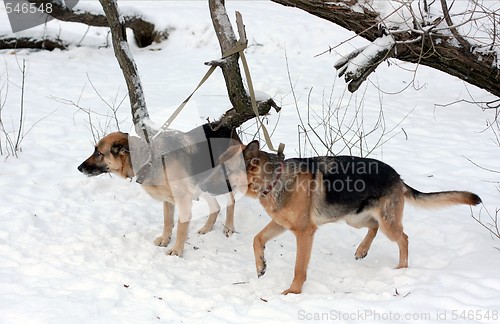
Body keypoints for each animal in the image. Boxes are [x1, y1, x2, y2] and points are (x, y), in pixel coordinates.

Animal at [78, 124, 240, 256]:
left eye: (98, 153)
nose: (79, 168)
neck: (148, 159)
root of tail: (228, 126)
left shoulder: (183, 200)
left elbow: (181, 228)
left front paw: (177, 251)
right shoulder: (168, 200)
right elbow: (167, 221)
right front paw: (165, 239)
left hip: (220, 181)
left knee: (231, 200)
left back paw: (229, 227)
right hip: (202, 185)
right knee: (216, 206)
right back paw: (207, 228)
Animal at [212, 141, 484, 294]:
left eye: (222, 168)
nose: (204, 184)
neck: (274, 180)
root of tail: (398, 176)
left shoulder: (304, 233)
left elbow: (299, 267)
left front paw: (293, 292)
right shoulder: (280, 224)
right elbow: (257, 239)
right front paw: (261, 266)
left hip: (387, 223)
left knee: (403, 238)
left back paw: (401, 269)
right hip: (356, 219)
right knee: (374, 227)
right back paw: (362, 250)